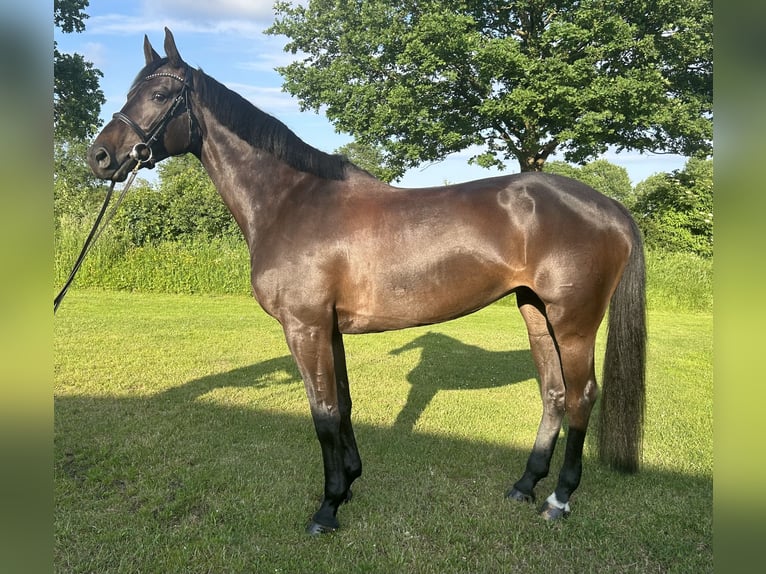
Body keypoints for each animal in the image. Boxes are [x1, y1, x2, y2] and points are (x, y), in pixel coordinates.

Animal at [85, 29, 648, 536]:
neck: (291, 201)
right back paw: (525, 485)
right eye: (130, 92)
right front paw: (350, 482)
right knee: (553, 392)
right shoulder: (328, 329)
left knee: (581, 396)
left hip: (574, 322)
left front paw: (327, 507)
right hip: (535, 311)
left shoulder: (305, 327)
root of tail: (611, 207)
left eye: (159, 96)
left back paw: (559, 498)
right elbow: (344, 404)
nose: (100, 157)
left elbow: (323, 413)